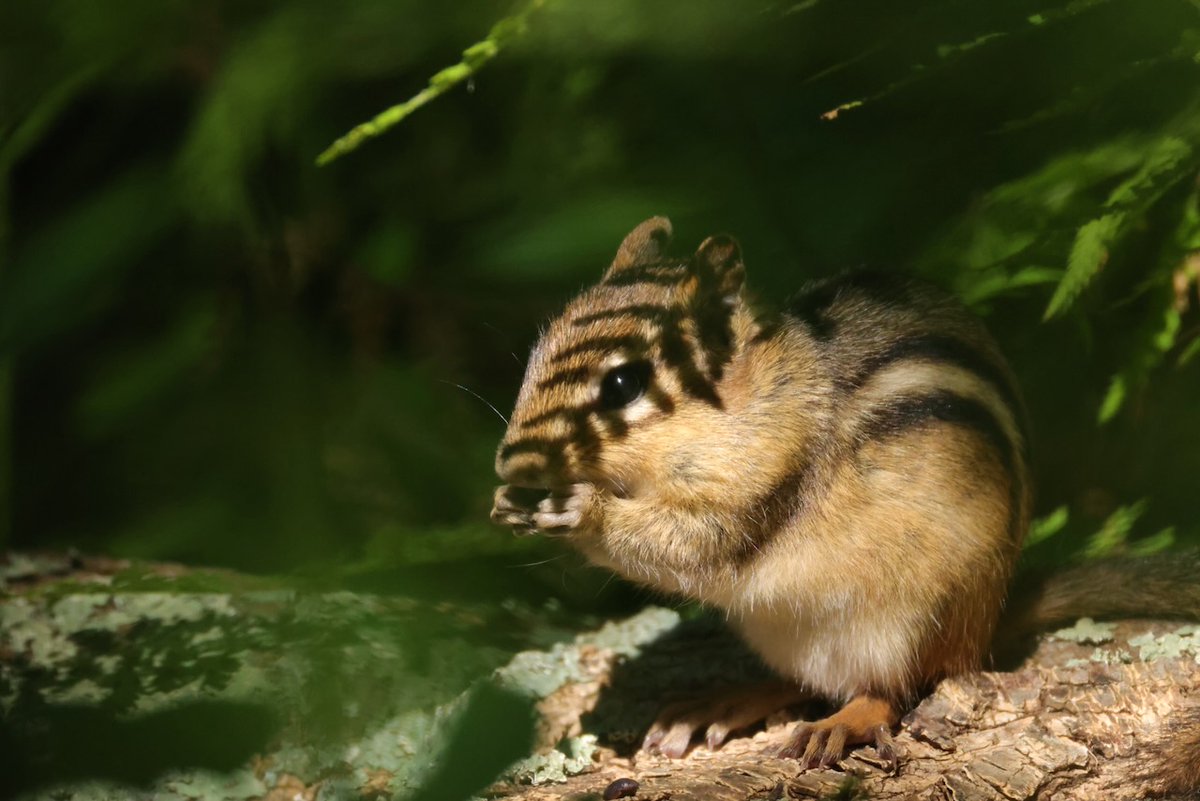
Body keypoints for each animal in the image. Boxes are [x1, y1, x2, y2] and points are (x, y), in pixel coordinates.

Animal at [489, 216, 1199, 772]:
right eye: (537, 351)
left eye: (623, 385)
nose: (509, 460)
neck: (757, 397)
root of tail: (988, 618)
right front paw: (510, 504)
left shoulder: (763, 476)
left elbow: (689, 545)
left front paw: (581, 510)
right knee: (797, 679)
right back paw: (727, 701)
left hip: (911, 619)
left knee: (893, 688)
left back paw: (846, 719)